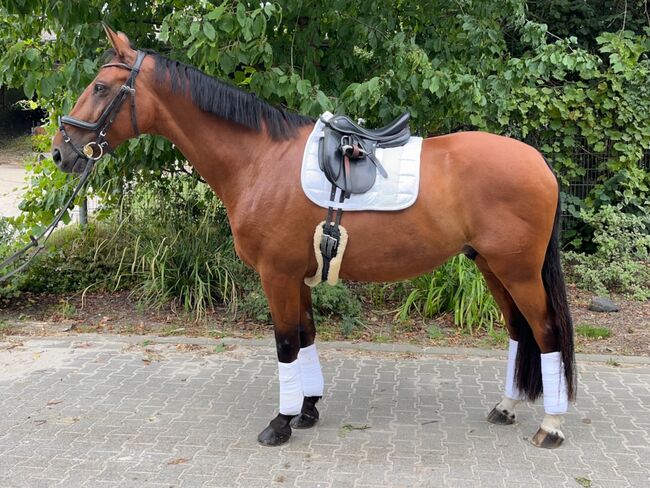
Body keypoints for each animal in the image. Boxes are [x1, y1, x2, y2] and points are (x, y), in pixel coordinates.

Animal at [51, 26, 576, 449]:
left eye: (100, 87)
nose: (61, 152)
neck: (260, 159)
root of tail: (540, 164)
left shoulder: (276, 274)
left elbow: (285, 344)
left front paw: (279, 424)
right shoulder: (296, 276)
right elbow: (305, 337)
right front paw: (306, 410)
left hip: (517, 270)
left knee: (546, 331)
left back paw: (550, 426)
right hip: (490, 266)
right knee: (519, 331)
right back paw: (506, 407)